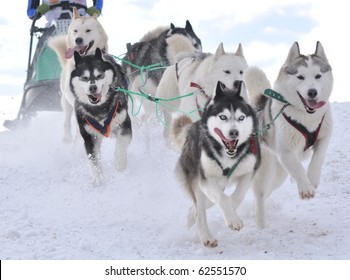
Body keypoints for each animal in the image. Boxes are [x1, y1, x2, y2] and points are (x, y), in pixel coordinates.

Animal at [171, 81, 262, 247]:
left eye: (241, 117)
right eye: (223, 117)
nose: (234, 133)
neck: (228, 156)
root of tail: (191, 129)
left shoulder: (250, 170)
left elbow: (237, 196)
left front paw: (233, 213)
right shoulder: (205, 179)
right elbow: (223, 198)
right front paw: (233, 219)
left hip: (217, 186)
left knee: (197, 208)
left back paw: (191, 218)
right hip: (197, 182)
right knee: (200, 212)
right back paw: (206, 237)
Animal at [243, 41, 334, 229]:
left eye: (318, 76)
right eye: (300, 77)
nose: (312, 92)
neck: (306, 116)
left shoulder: (325, 136)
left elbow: (318, 158)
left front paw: (312, 178)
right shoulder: (286, 152)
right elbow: (298, 168)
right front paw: (305, 187)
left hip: (279, 176)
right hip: (266, 172)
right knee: (260, 196)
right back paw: (261, 226)